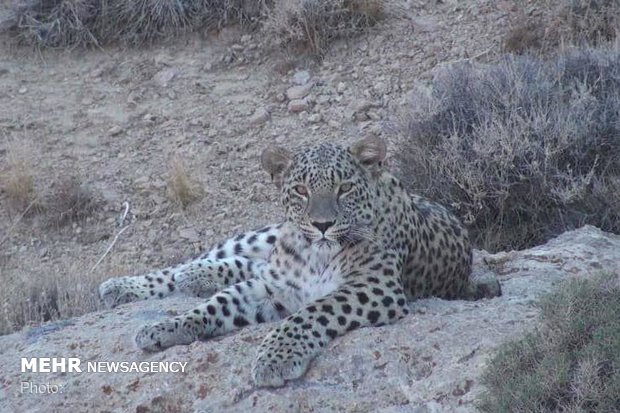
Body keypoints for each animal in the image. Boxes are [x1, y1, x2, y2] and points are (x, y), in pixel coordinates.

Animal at [98, 135, 504, 386]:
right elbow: (217, 304)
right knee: (219, 257)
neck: (315, 256)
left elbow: (310, 313)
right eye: (301, 190)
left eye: (344, 188)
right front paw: (168, 326)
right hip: (262, 235)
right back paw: (131, 284)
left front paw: (274, 359)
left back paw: (193, 277)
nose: (322, 225)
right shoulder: (272, 287)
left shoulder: (375, 288)